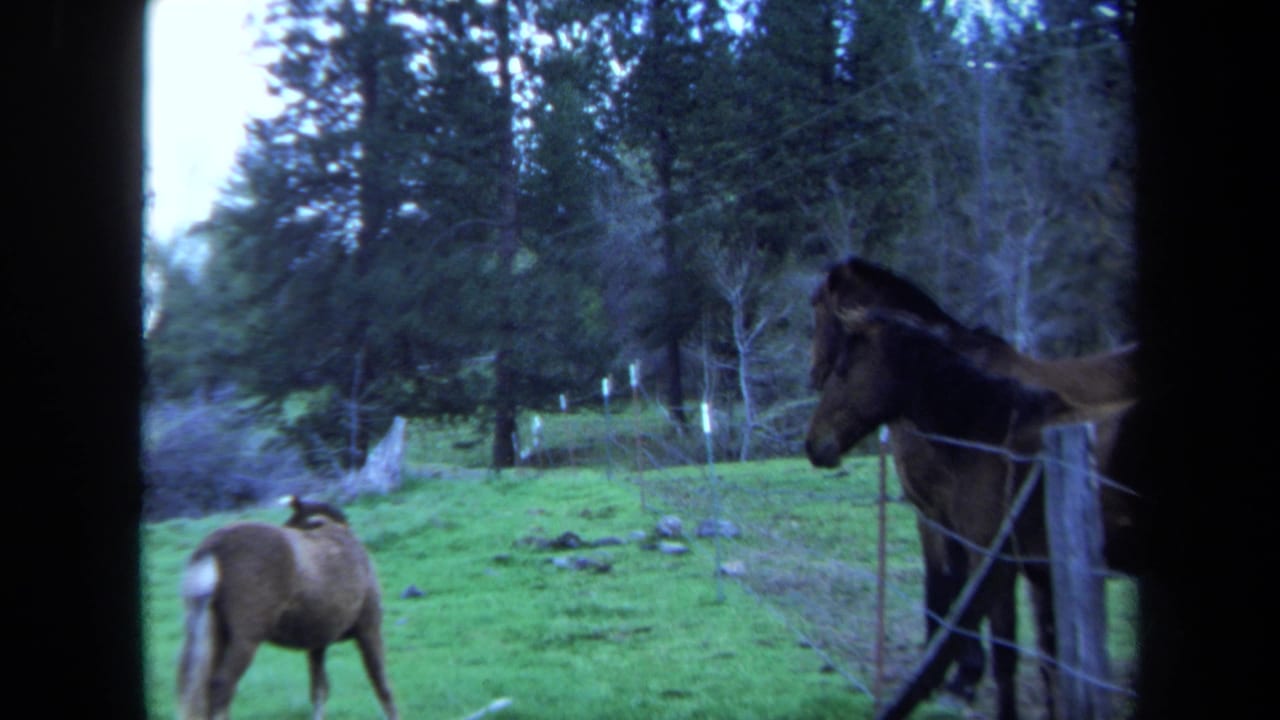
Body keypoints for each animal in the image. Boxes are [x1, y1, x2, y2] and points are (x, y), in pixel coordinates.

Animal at [176, 496, 398, 720]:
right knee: (222, 686)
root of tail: (213, 549)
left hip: (209, 631)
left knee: (194, 686)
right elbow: (382, 686)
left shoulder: (317, 642)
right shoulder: (369, 628)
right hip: (245, 637)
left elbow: (319, 690)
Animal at [806, 258, 1141, 720]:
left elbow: (956, 592)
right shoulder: (934, 514)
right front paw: (951, 674)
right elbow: (945, 590)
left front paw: (959, 676)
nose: (814, 375)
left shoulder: (958, 524)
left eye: (820, 312)